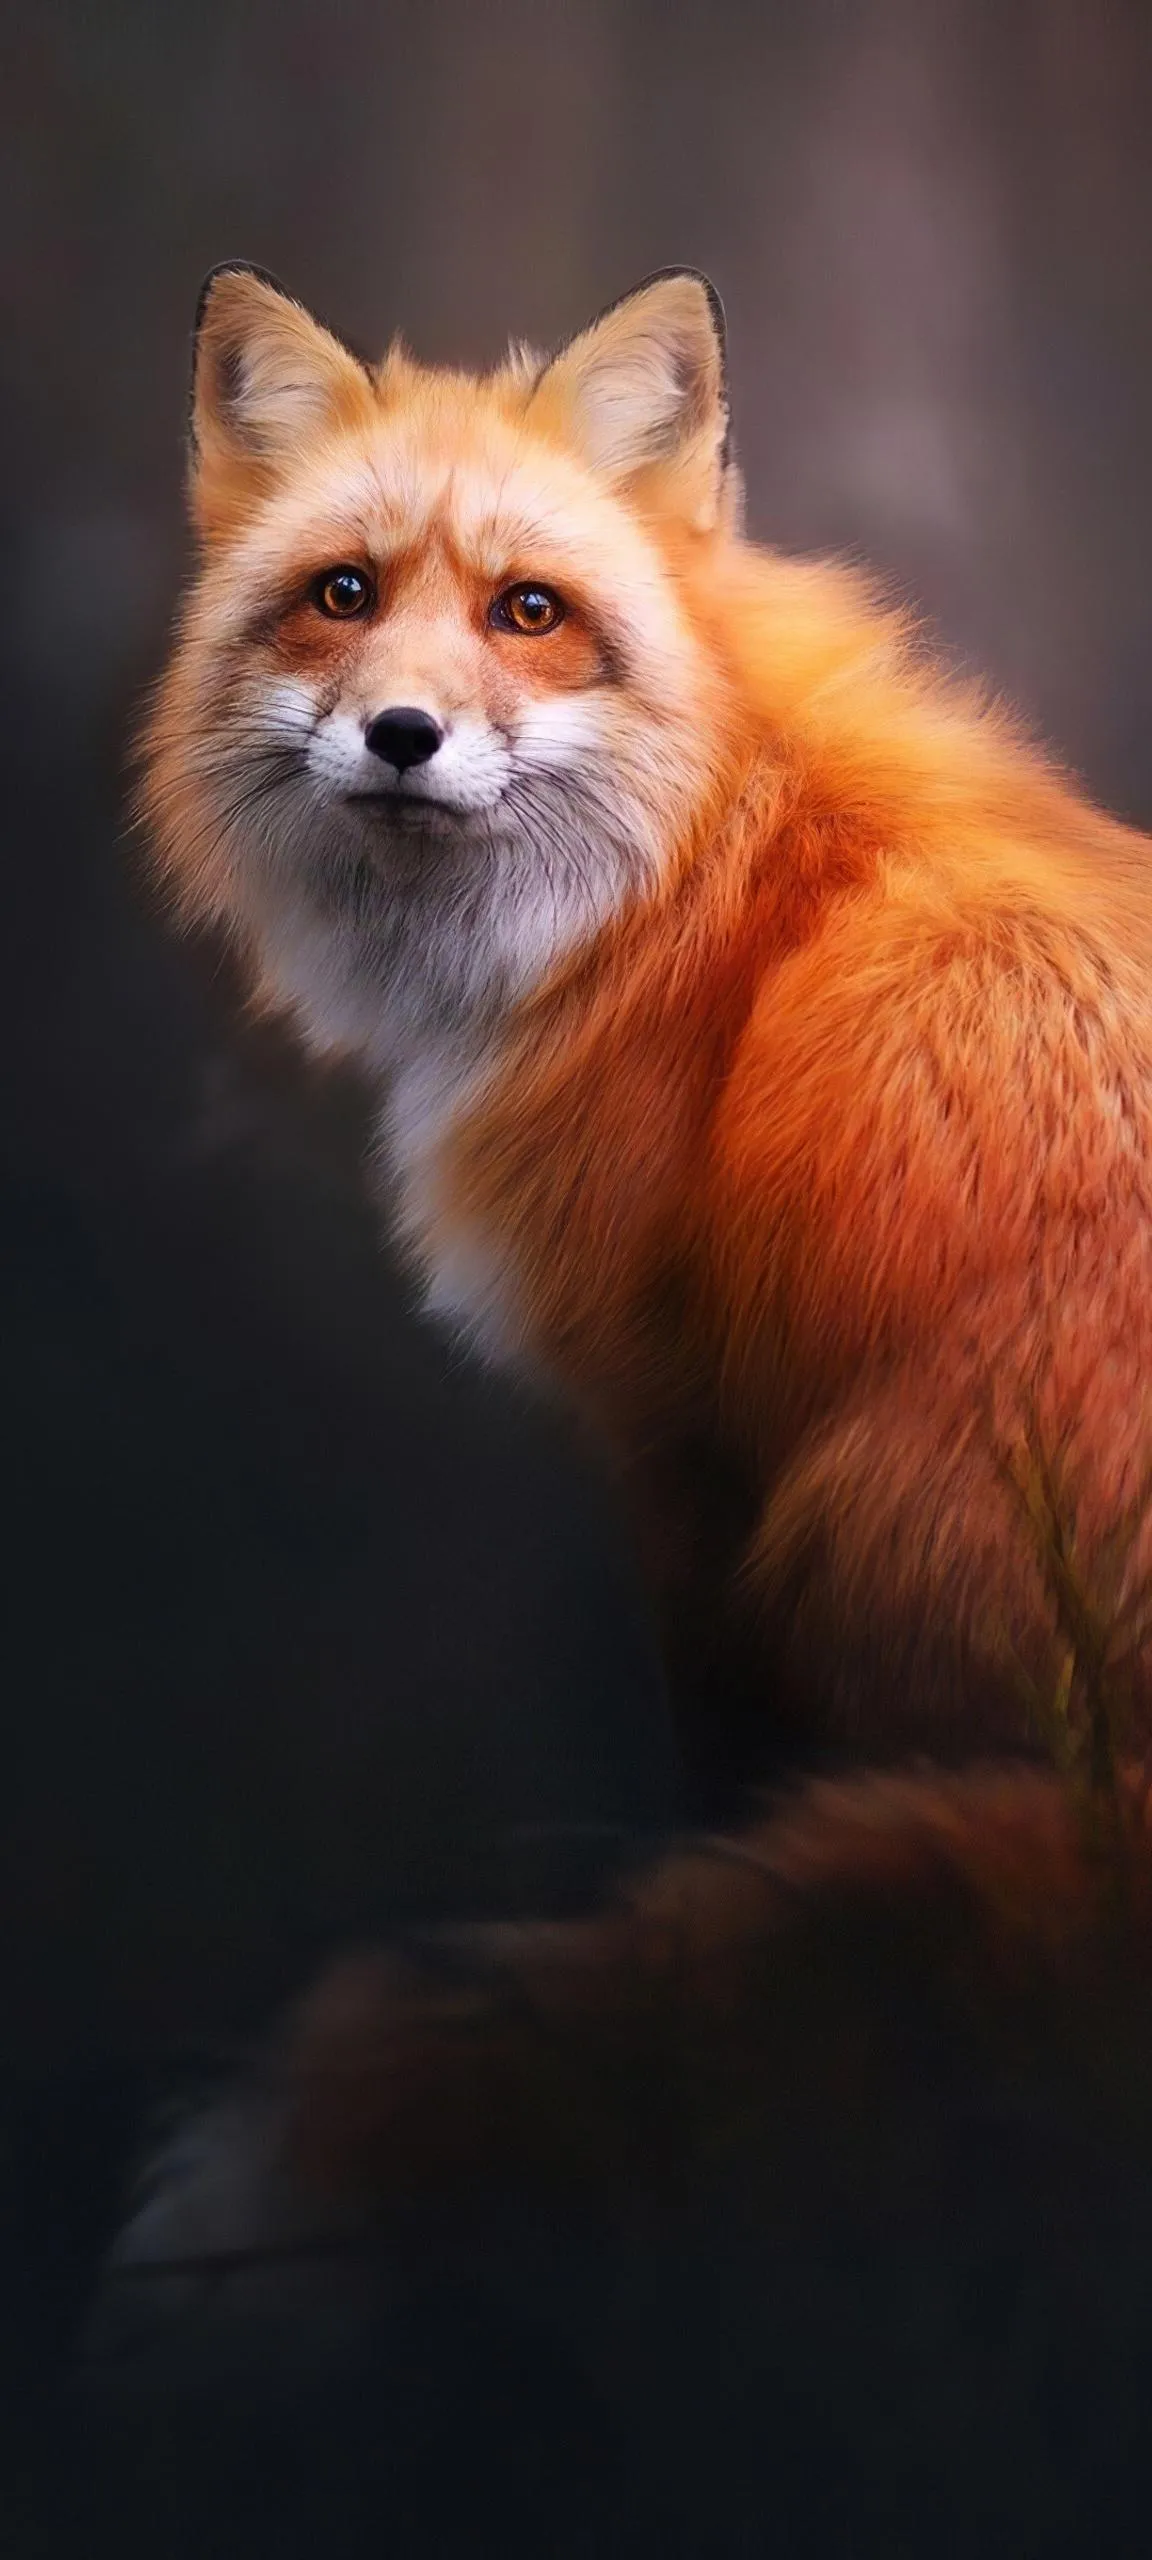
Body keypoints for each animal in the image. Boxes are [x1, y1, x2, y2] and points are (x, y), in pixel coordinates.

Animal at [128, 260, 1152, 2219]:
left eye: (529, 612)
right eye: (342, 595)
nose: (402, 735)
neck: (697, 861)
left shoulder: (680, 1431)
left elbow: (720, 1781)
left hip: (849, 1534)